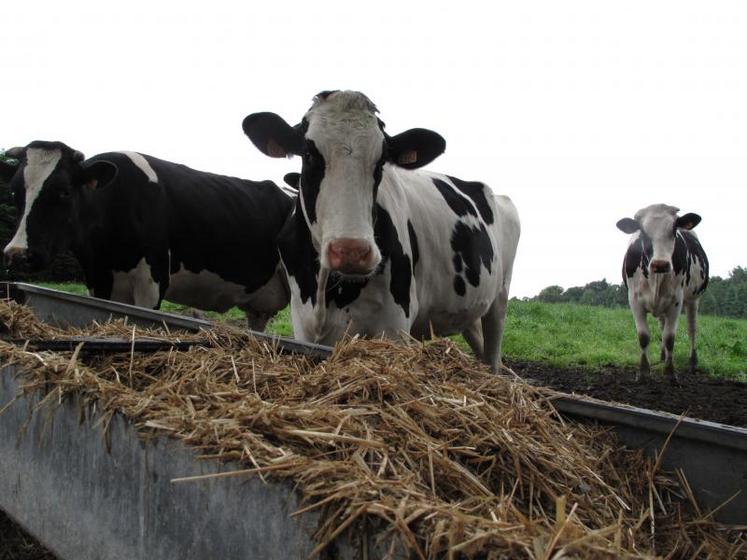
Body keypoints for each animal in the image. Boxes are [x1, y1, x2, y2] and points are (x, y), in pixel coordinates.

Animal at [2, 142, 296, 330]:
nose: (18, 254)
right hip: (259, 306)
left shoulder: (152, 280)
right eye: (15, 191)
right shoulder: (98, 279)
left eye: (64, 192)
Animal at [241, 91, 520, 372]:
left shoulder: (395, 325)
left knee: (493, 356)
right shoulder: (303, 323)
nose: (351, 252)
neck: (330, 292)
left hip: (500, 300)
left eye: (381, 162)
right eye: (308, 155)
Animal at [620, 203, 712, 382]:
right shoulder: (634, 300)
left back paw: (692, 363)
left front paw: (670, 372)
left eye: (674, 228)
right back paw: (662, 357)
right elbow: (644, 336)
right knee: (662, 325)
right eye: (642, 231)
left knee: (692, 329)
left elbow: (670, 338)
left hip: (693, 299)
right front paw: (643, 371)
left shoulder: (676, 301)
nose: (660, 264)